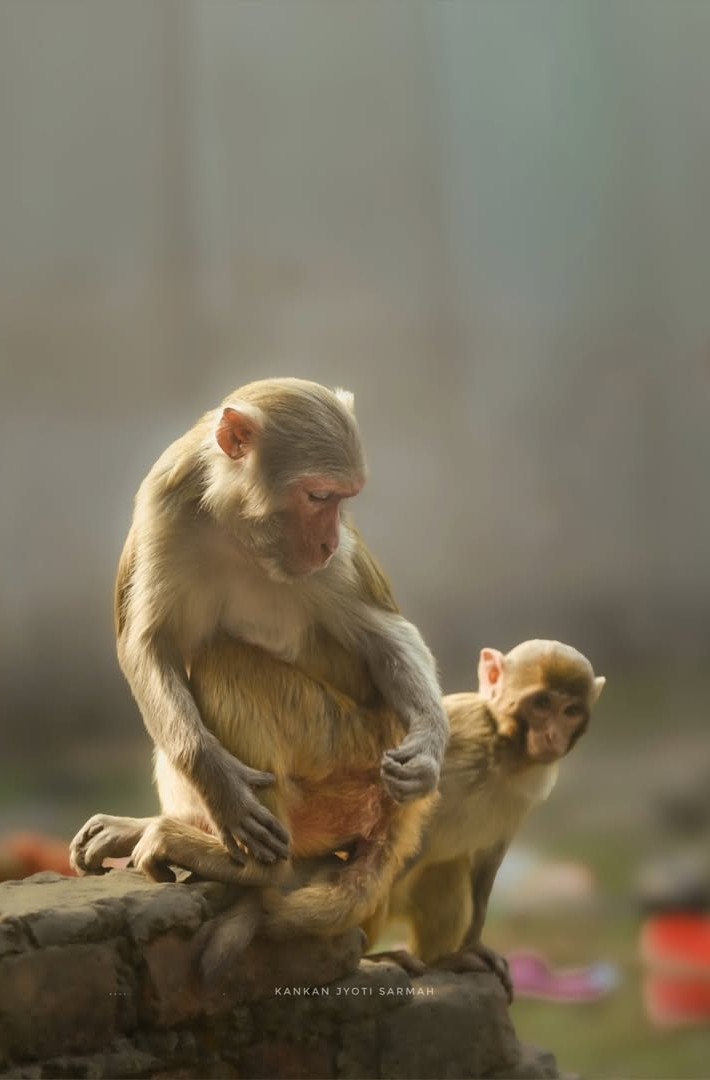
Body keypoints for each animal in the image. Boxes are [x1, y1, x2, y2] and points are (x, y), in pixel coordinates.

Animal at [70, 378, 446, 936]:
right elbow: (148, 646)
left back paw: (248, 868)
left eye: (342, 500)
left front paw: (428, 749)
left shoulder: (335, 566)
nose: (330, 540)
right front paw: (219, 782)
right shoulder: (165, 503)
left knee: (223, 663)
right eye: (318, 496)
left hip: (351, 752)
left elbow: (387, 637)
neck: (238, 526)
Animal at [365, 640, 605, 999]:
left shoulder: (529, 790)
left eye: (570, 711)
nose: (552, 736)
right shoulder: (464, 728)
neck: (504, 751)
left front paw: (474, 945)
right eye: (542, 703)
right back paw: (369, 956)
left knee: (447, 867)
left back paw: (443, 959)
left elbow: (488, 859)